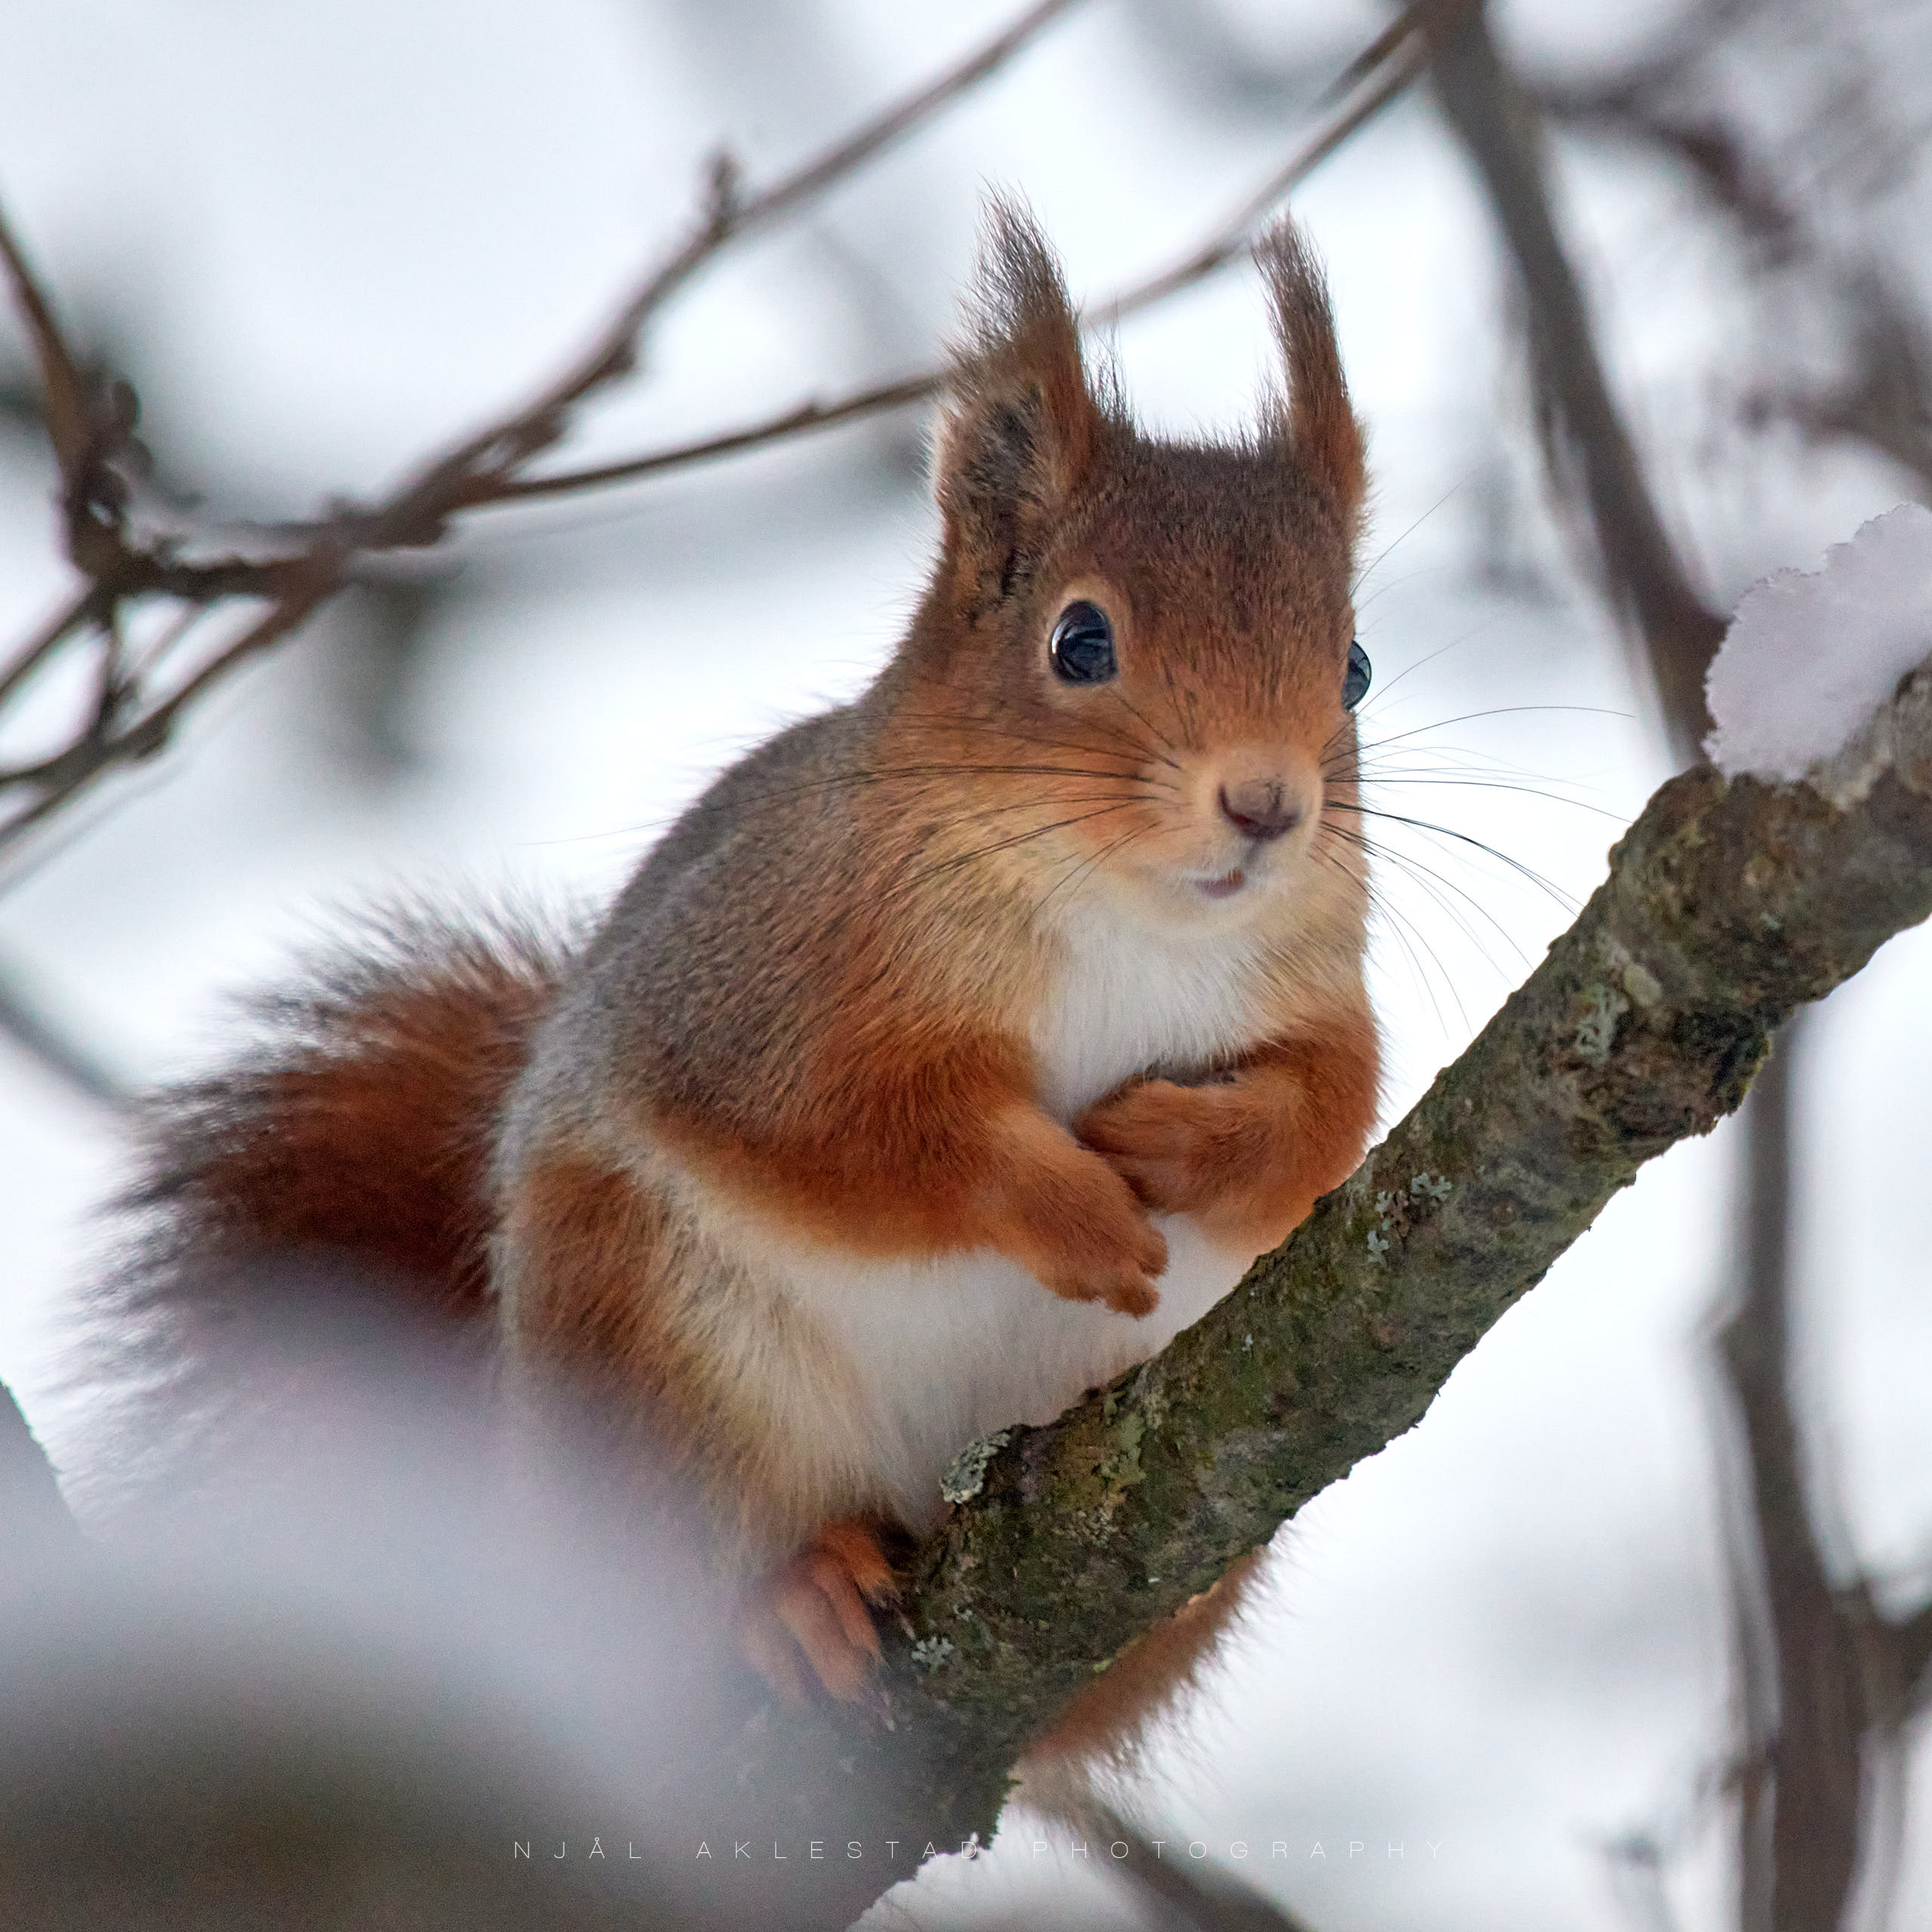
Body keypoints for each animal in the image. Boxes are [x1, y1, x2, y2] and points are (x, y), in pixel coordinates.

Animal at [121, 204, 1383, 1761]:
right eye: (1080, 643)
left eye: (1356, 667)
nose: (1268, 807)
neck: (1130, 924)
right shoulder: (764, 986)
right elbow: (853, 1135)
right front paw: (1071, 1204)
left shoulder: (1324, 993)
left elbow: (1332, 1115)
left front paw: (1192, 1144)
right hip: (651, 1361)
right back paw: (794, 1595)